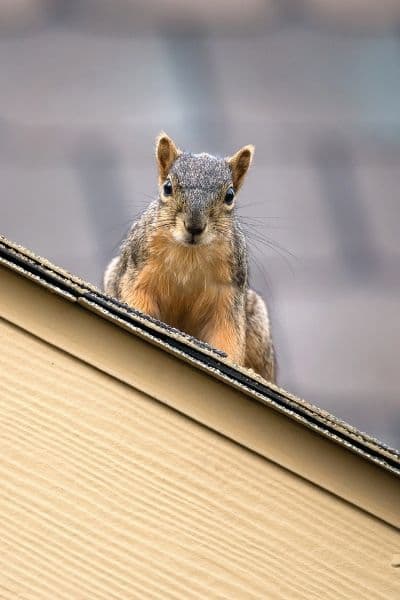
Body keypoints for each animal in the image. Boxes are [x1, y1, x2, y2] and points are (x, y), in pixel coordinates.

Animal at [104, 134, 276, 382]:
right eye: (167, 187)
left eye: (230, 196)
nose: (194, 226)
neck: (190, 254)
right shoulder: (138, 271)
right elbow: (137, 300)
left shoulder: (228, 293)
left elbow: (227, 333)